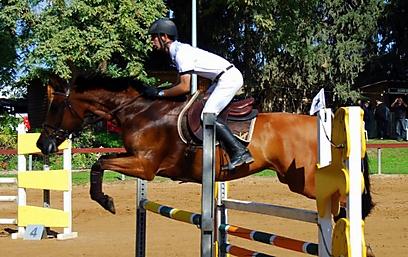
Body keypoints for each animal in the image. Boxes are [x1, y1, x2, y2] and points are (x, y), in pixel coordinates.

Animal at [35, 73, 372, 219]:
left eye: (55, 107)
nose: (43, 144)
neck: (140, 110)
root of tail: (323, 124)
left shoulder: (145, 166)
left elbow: (98, 163)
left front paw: (105, 201)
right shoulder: (136, 159)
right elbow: (101, 163)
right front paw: (105, 200)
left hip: (307, 182)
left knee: (345, 196)